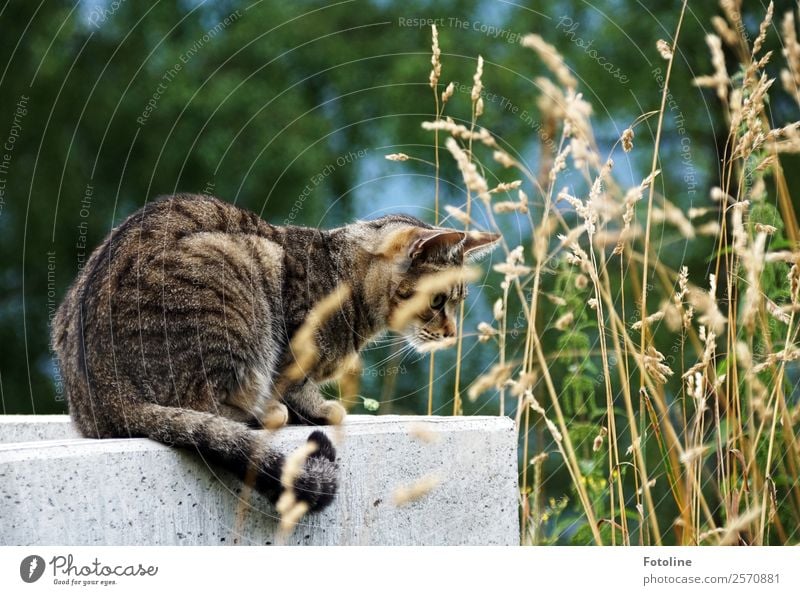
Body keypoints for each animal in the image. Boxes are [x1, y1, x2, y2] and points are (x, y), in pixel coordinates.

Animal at [51, 194, 500, 512]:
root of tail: (104, 396)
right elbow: (298, 387)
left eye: (457, 302)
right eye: (438, 301)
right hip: (241, 268)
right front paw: (319, 408)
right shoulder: (291, 345)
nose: (451, 334)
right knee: (210, 402)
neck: (346, 282)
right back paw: (265, 411)